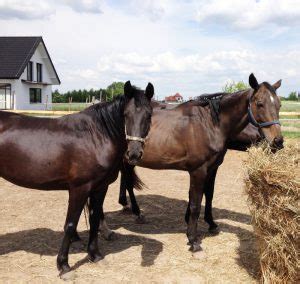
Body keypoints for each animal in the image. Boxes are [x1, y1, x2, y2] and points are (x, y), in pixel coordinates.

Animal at [0, 81, 154, 274]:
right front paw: (64, 265)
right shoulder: (79, 189)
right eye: (126, 115)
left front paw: (95, 255)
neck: (95, 136)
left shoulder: (100, 188)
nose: (134, 153)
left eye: (149, 115)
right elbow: (71, 224)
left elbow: (95, 219)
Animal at [113, 74, 284, 253]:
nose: (278, 141)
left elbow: (207, 195)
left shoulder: (211, 168)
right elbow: (196, 203)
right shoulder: (198, 170)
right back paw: (136, 213)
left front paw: (210, 224)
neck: (209, 124)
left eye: (279, 105)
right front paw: (193, 240)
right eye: (260, 104)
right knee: (128, 184)